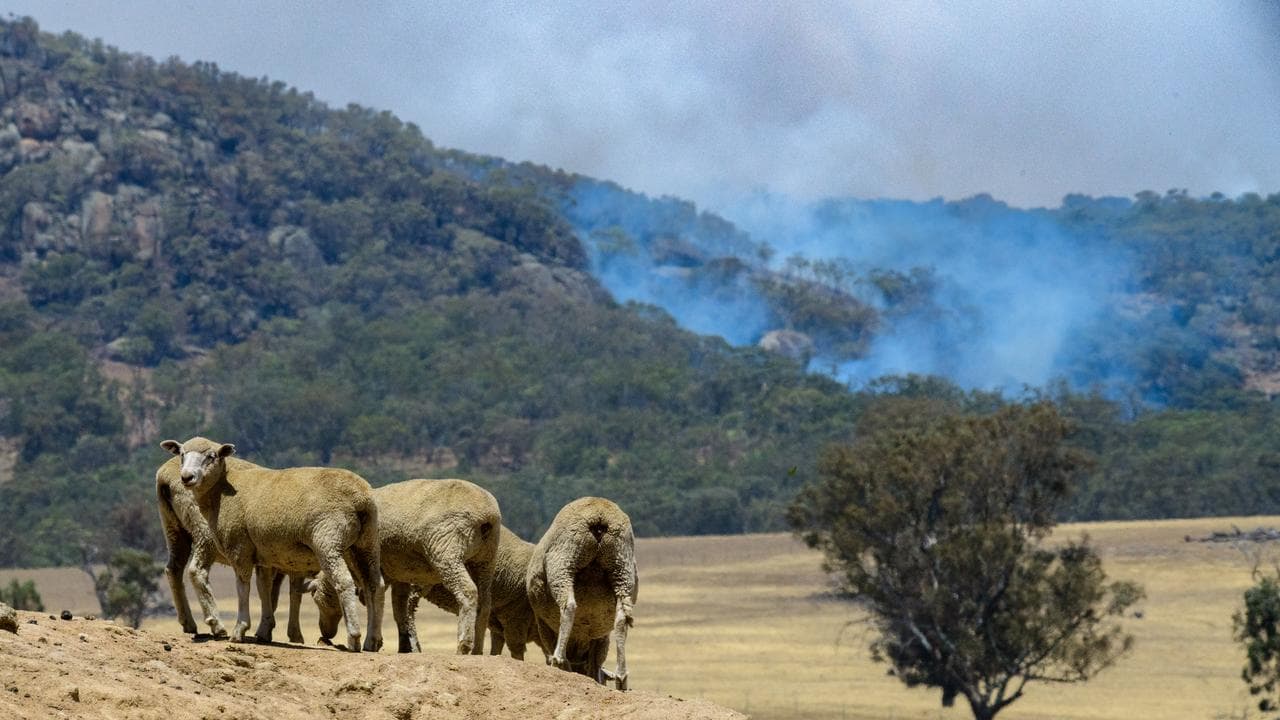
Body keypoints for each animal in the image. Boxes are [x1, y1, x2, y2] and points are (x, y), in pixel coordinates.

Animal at [158, 437, 384, 652]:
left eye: (211, 456)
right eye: (182, 454)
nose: (187, 477)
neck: (221, 490)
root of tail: (360, 498)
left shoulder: (239, 546)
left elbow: (243, 586)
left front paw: (240, 628)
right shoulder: (264, 555)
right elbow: (264, 588)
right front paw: (264, 629)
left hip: (328, 541)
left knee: (345, 581)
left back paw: (354, 637)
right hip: (365, 543)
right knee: (374, 584)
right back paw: (371, 640)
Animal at [311, 478, 500, 655]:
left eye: (318, 601)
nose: (325, 634)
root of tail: (486, 515)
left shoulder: (363, 562)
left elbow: (377, 598)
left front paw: (376, 641)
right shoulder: (400, 573)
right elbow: (399, 609)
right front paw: (405, 645)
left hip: (447, 550)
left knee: (468, 591)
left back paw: (464, 645)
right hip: (486, 558)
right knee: (485, 602)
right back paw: (477, 649)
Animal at [526, 497, 637, 690]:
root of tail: (600, 515)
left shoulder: (543, 624)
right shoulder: (600, 638)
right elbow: (595, 663)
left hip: (563, 562)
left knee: (569, 605)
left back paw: (559, 659)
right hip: (622, 568)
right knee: (621, 618)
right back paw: (622, 677)